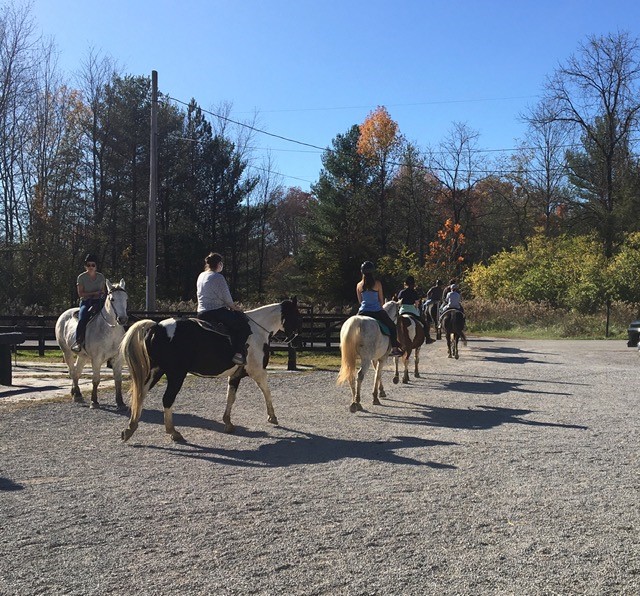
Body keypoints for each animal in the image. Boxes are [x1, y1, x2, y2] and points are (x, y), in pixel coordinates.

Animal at [55, 280, 129, 410]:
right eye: (112, 299)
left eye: (126, 298)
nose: (123, 319)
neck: (110, 330)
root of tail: (63, 315)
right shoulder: (97, 359)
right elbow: (96, 380)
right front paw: (94, 401)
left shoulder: (117, 359)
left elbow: (118, 380)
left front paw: (120, 403)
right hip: (66, 351)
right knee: (72, 371)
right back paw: (77, 395)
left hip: (83, 356)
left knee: (77, 372)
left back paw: (76, 394)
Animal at [119, 298, 300, 442]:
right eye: (298, 315)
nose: (296, 341)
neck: (257, 331)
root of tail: (157, 327)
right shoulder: (258, 372)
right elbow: (267, 392)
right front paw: (272, 417)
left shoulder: (235, 375)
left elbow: (230, 397)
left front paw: (228, 422)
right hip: (176, 375)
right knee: (167, 399)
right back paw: (173, 432)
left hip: (156, 371)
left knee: (141, 394)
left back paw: (130, 428)